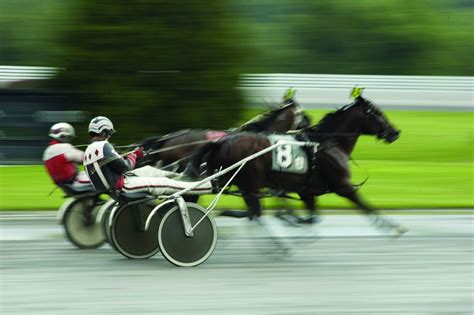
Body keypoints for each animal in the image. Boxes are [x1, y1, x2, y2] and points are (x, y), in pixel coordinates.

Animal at [185, 95, 408, 236]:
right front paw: (394, 227)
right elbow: (366, 206)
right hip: (248, 182)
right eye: (378, 112)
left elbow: (312, 217)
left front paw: (292, 221)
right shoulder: (342, 186)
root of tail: (222, 142)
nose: (395, 132)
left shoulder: (306, 191)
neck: (328, 142)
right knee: (252, 210)